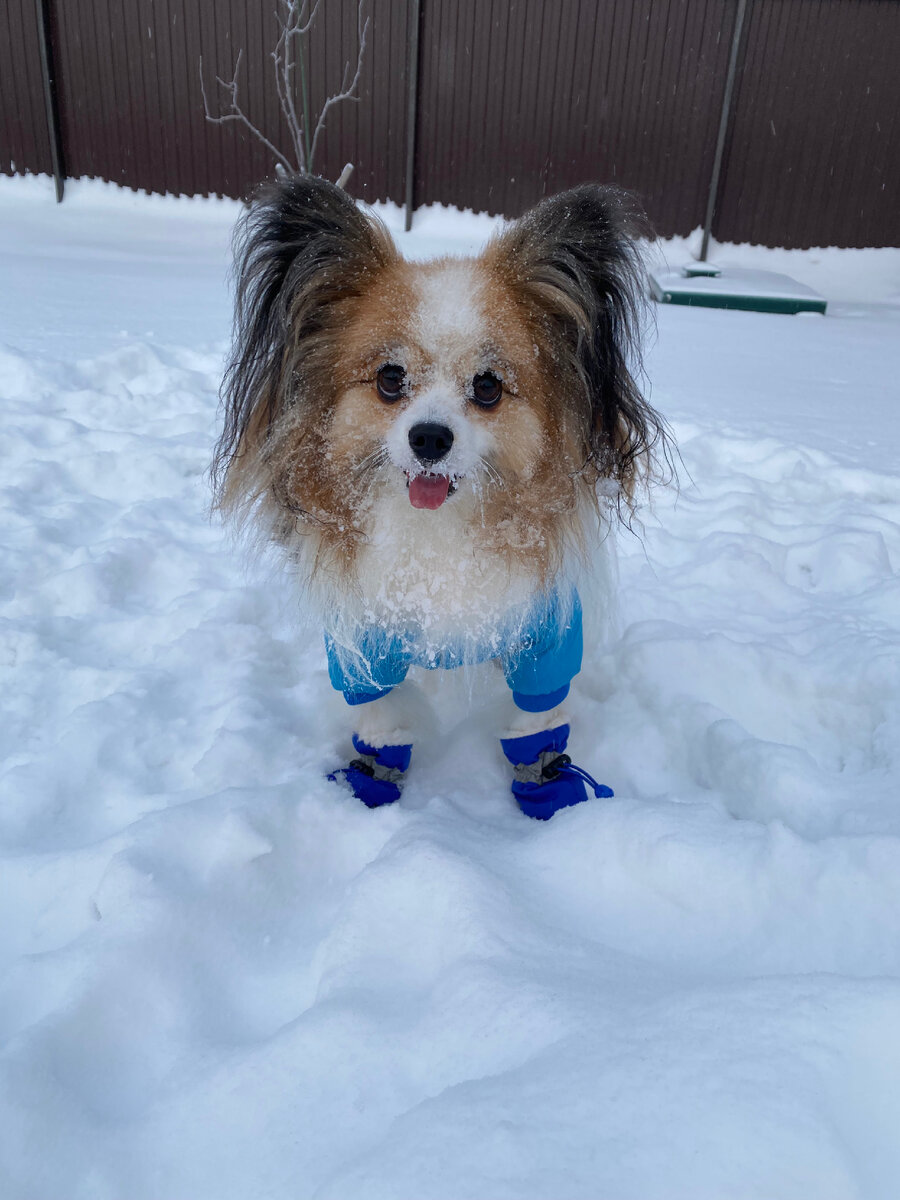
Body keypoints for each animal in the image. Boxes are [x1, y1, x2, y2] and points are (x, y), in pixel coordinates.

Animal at [214, 174, 667, 820]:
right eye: (389, 379)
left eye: (488, 386)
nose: (429, 438)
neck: (439, 534)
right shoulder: (363, 643)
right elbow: (383, 722)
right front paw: (371, 785)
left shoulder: (545, 637)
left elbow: (535, 723)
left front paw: (548, 788)